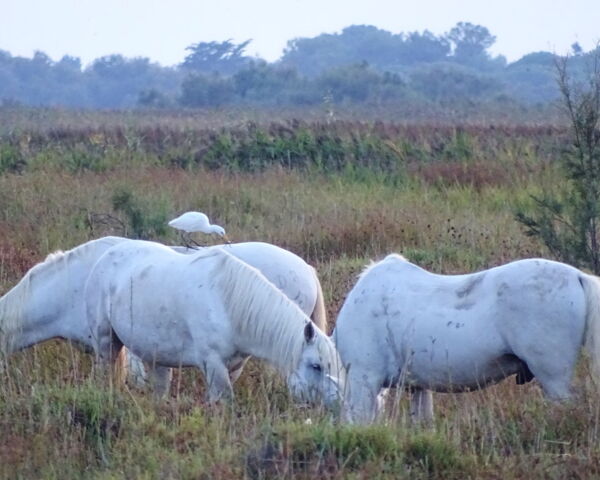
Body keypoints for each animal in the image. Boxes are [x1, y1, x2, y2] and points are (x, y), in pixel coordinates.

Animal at [85, 240, 346, 404]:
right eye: (316, 366)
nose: (337, 400)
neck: (226, 303)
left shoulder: (233, 365)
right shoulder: (213, 365)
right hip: (106, 343)